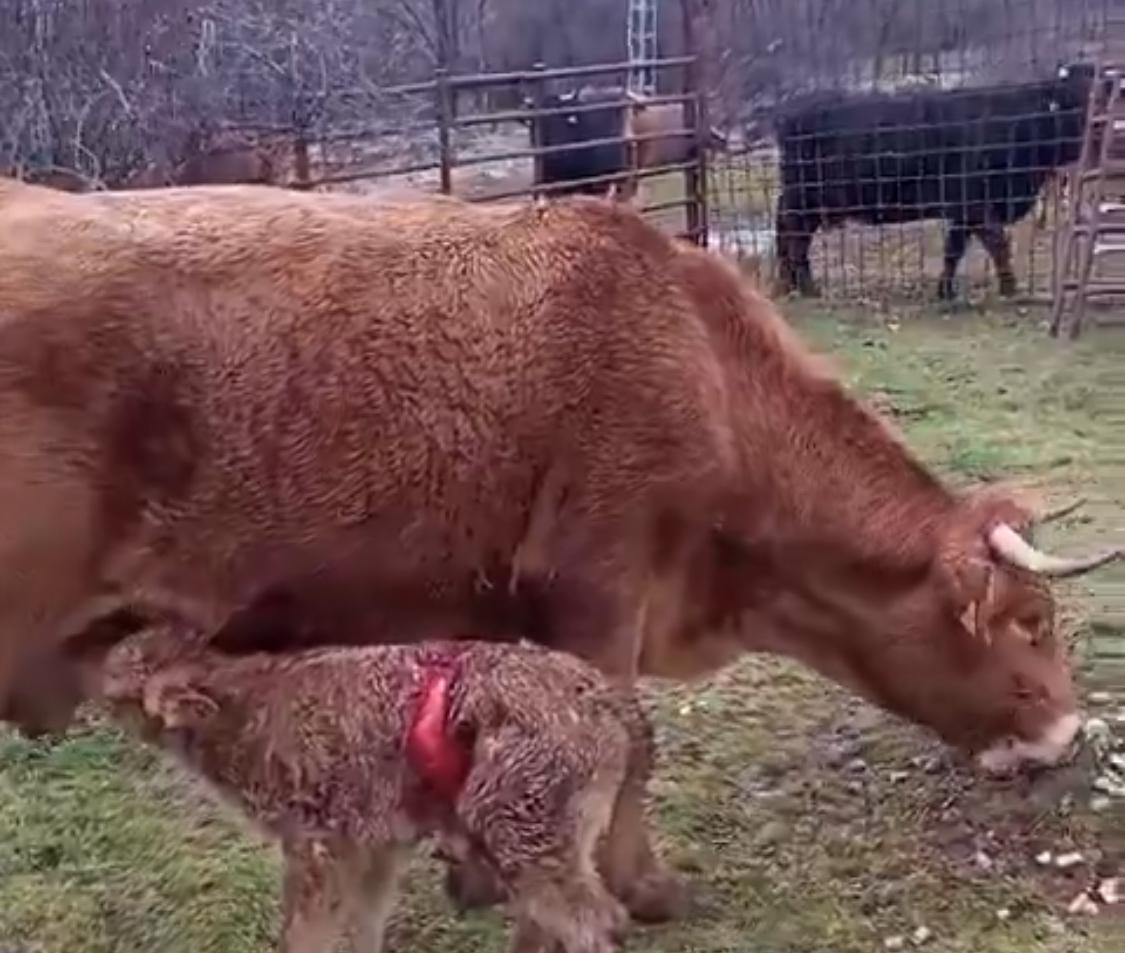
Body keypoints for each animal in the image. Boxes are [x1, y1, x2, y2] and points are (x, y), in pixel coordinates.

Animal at [0, 178, 1116, 922]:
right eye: (1029, 619)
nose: (1068, 734)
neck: (698, 366)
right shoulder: (598, 596)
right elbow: (631, 739)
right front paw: (644, 887)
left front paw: (478, 873)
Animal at [769, 62, 1093, 297]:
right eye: (1081, 97)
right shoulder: (975, 202)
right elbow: (996, 243)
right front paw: (1009, 288)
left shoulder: (964, 210)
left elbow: (955, 248)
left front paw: (946, 291)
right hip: (805, 197)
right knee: (793, 234)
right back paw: (803, 287)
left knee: (791, 233)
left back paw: (791, 284)